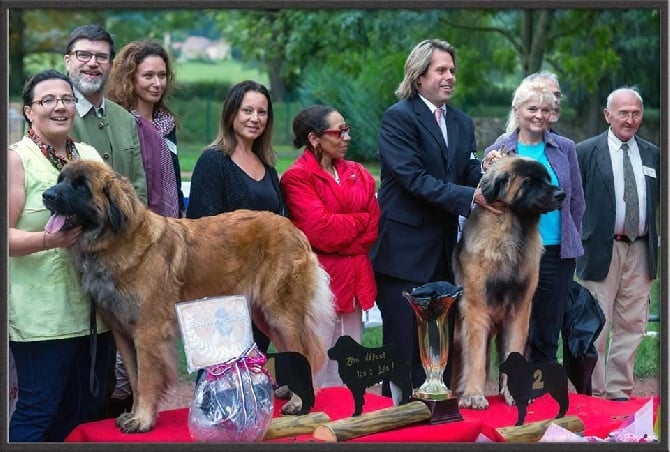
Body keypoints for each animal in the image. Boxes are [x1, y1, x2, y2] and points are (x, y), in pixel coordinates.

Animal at [42, 161, 336, 432]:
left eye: (80, 186)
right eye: (60, 180)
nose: (47, 195)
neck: (116, 242)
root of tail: (293, 228)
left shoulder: (148, 332)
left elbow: (146, 378)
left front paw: (142, 419)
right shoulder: (122, 333)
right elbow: (135, 379)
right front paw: (134, 414)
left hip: (280, 311)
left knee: (303, 349)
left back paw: (299, 402)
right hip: (264, 315)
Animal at [452, 154, 568, 410]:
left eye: (548, 179)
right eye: (530, 181)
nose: (561, 194)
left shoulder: (519, 310)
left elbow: (513, 350)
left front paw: (513, 393)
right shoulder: (476, 310)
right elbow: (474, 357)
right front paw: (473, 395)